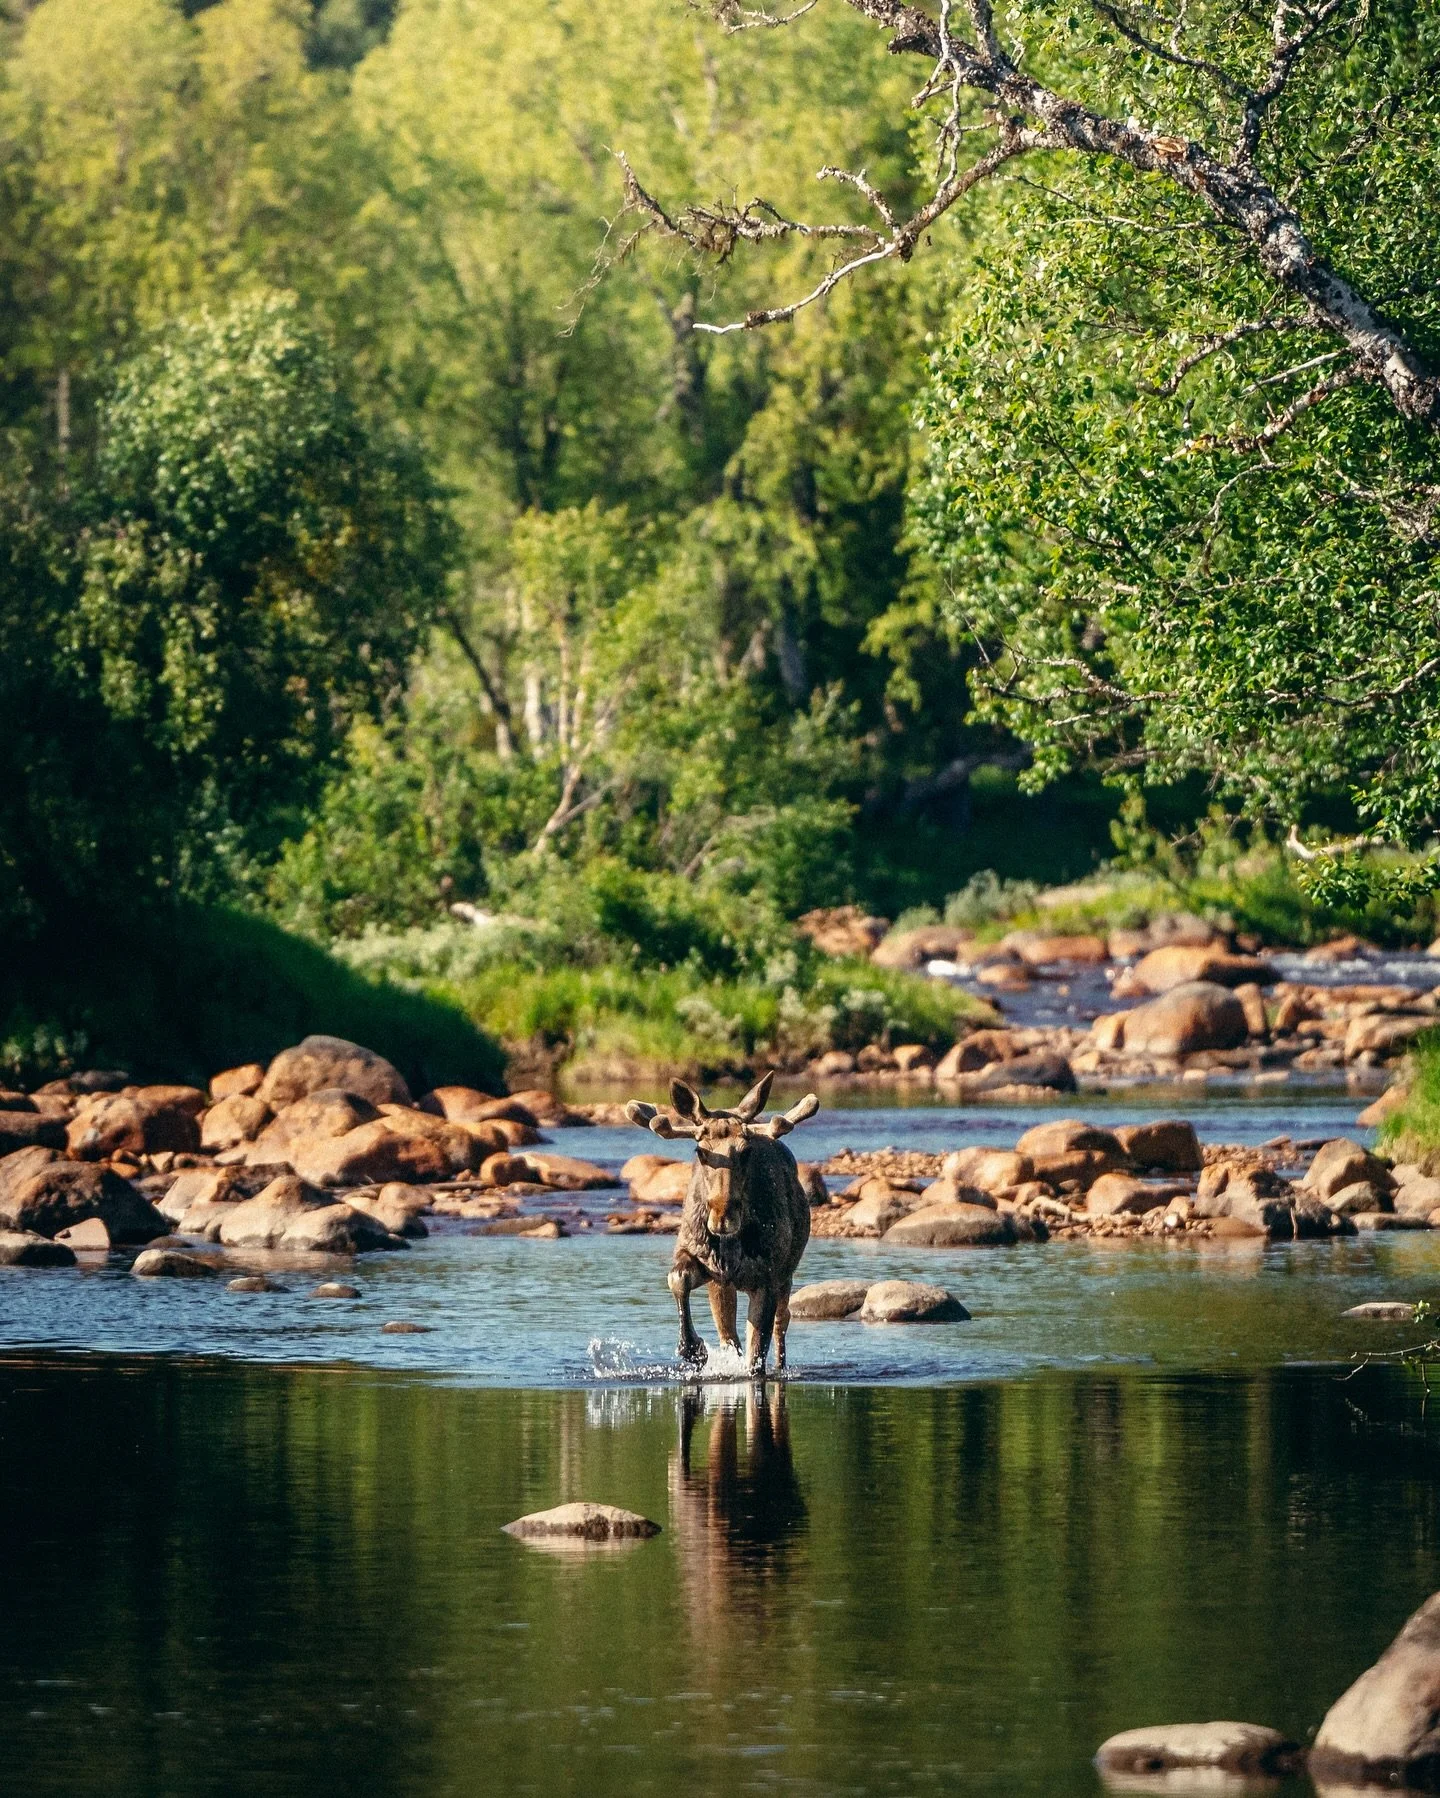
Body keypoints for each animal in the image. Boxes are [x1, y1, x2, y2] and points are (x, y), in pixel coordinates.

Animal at [624, 1072, 819, 1378]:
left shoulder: (767, 1278)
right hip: (724, 1286)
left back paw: (781, 1365)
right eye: (700, 1151)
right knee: (729, 1334)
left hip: (786, 1273)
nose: (722, 1217)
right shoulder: (706, 1266)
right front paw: (694, 1349)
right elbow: (677, 1278)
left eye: (746, 1151)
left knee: (782, 1321)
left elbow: (756, 1357)